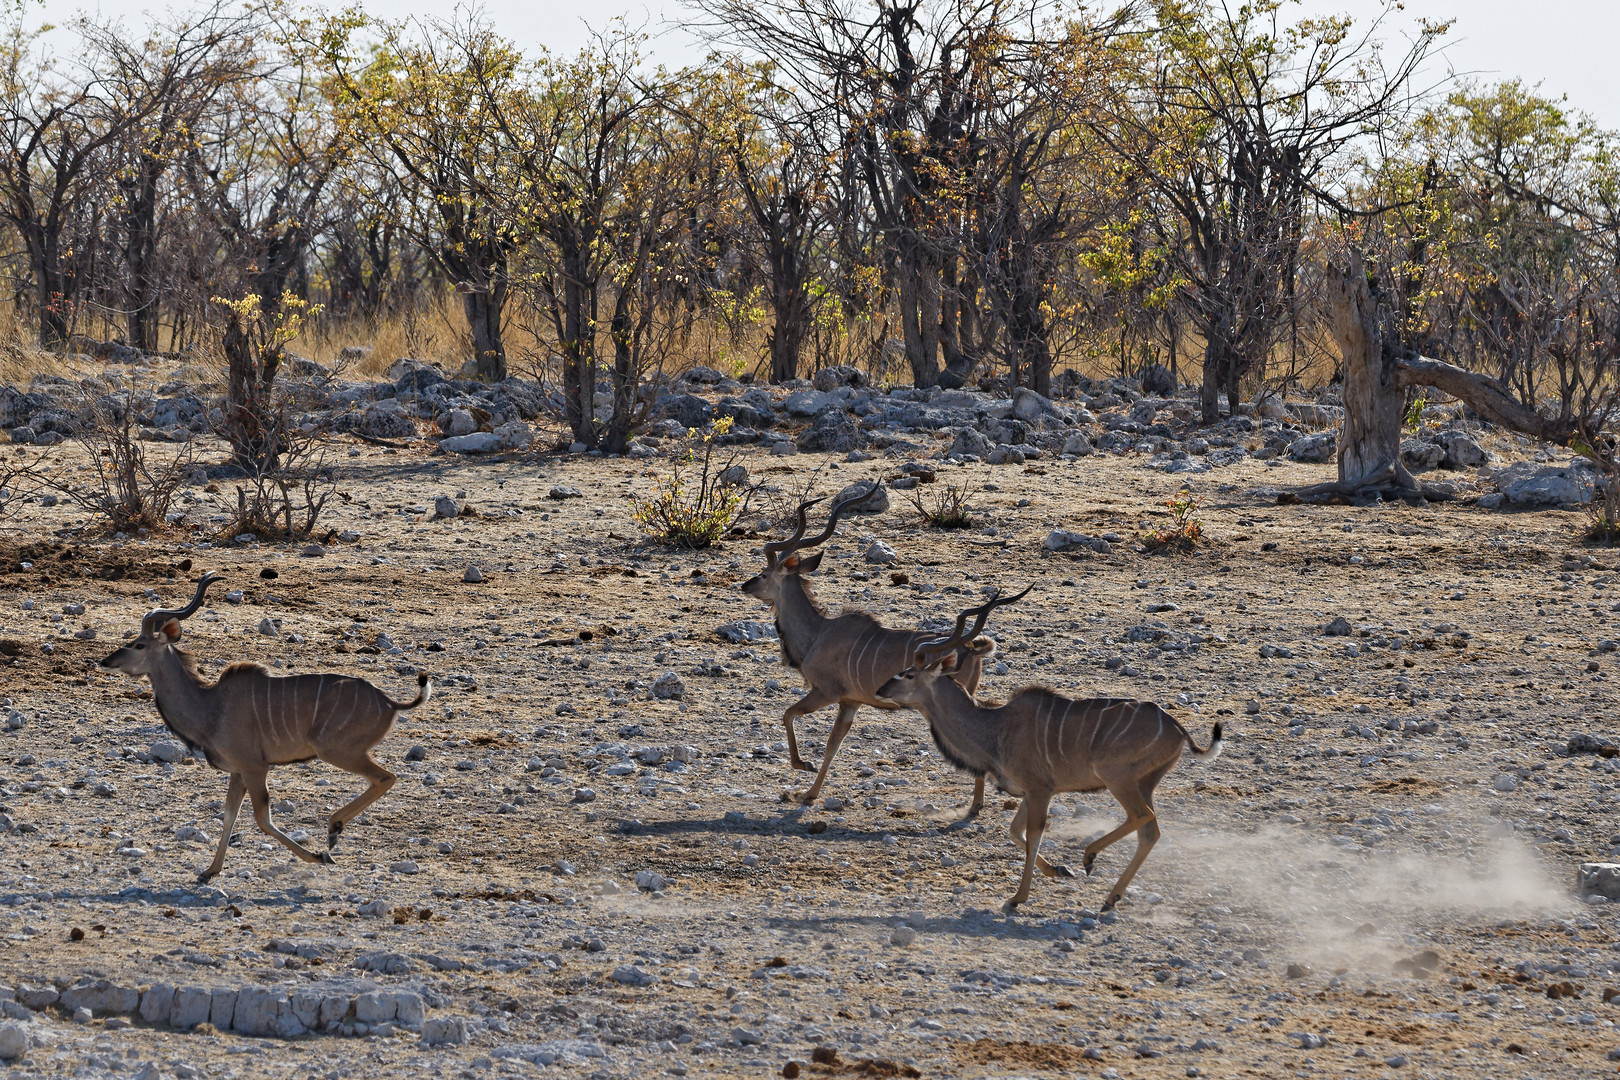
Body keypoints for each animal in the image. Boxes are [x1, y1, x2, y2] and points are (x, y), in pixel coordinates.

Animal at [98, 569, 430, 880]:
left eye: (139, 645)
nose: (105, 662)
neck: (210, 705)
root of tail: (389, 703)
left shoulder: (255, 767)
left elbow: (262, 818)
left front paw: (317, 856)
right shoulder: (238, 772)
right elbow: (229, 815)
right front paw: (210, 871)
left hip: (338, 751)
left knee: (385, 777)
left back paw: (333, 830)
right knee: (383, 778)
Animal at [745, 485, 1010, 816]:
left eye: (764, 574)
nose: (744, 585)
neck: (819, 632)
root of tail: (974, 648)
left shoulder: (826, 692)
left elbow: (789, 715)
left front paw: (803, 766)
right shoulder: (850, 702)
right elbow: (832, 745)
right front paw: (809, 794)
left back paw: (975, 806)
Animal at [881, 605, 1218, 919]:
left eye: (909, 674)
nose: (880, 689)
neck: (996, 726)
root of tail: (1177, 728)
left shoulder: (1040, 790)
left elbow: (1033, 836)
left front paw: (1018, 897)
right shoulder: (1031, 793)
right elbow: (1015, 831)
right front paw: (1058, 870)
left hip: (1117, 777)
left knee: (1142, 815)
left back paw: (1089, 857)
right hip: (1144, 783)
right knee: (1150, 830)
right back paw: (1110, 898)